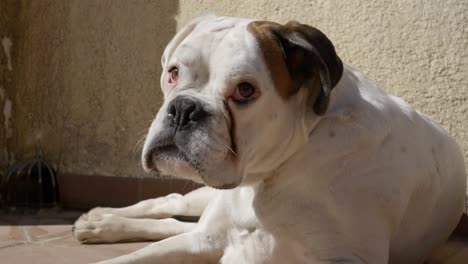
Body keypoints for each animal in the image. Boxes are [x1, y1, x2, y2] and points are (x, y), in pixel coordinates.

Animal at [73, 14, 464, 264]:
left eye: (245, 90)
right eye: (173, 73)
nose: (184, 108)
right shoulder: (208, 241)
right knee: (170, 204)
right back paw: (101, 219)